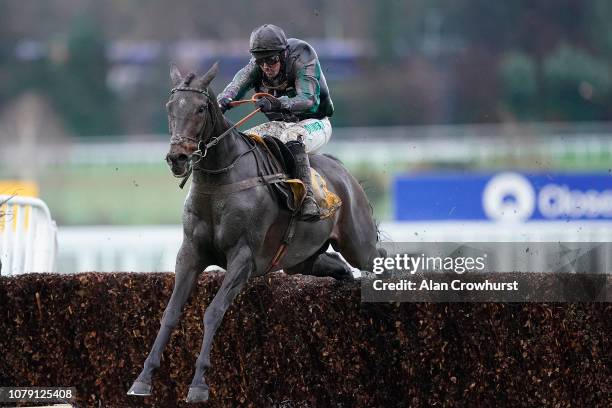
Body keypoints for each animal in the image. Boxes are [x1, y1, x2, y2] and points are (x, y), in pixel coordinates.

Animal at [128, 62, 384, 404]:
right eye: (170, 107)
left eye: (200, 108)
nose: (177, 158)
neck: (220, 183)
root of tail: (345, 174)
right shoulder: (190, 254)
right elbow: (170, 312)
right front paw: (142, 379)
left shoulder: (243, 258)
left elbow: (213, 312)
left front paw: (198, 384)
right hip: (300, 259)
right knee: (336, 266)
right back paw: (345, 282)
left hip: (359, 243)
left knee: (379, 259)